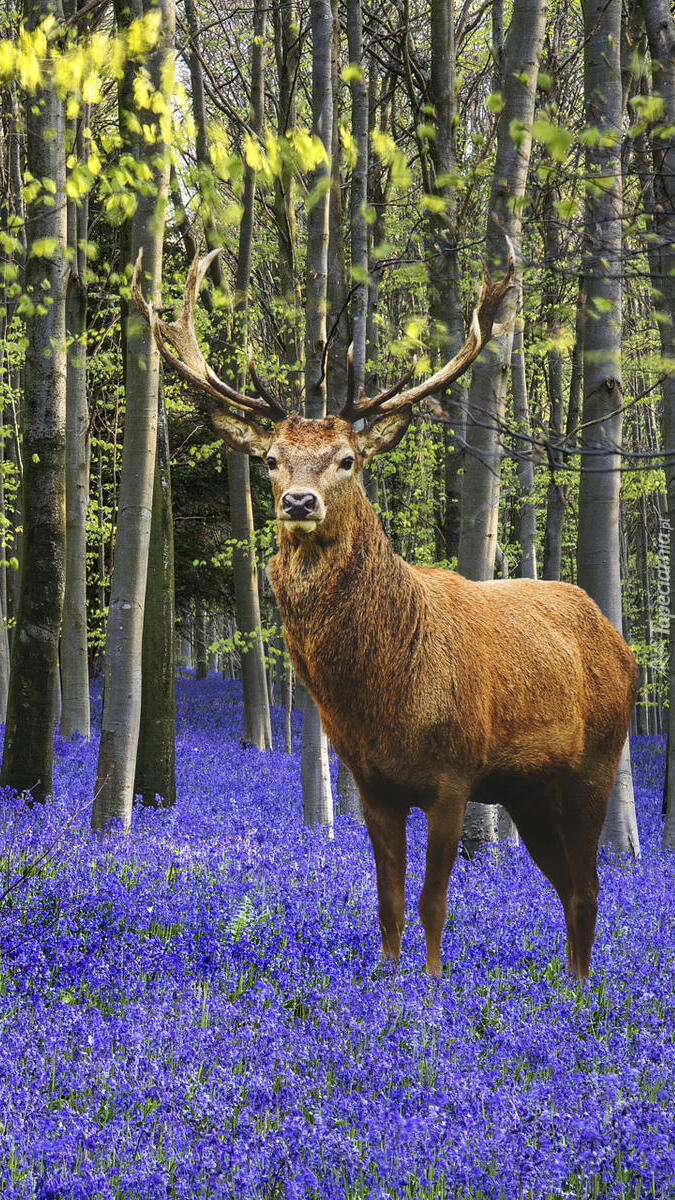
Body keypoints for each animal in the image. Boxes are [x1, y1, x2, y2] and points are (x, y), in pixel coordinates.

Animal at [131, 241, 634, 974]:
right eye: (272, 459)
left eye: (346, 459)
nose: (299, 502)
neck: (385, 694)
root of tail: (620, 645)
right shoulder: (372, 783)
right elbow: (389, 904)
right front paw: (388, 979)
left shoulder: (454, 772)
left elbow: (431, 903)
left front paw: (429, 989)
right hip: (529, 791)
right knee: (569, 885)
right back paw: (570, 986)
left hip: (594, 763)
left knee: (590, 885)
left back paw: (579, 990)